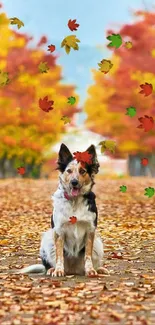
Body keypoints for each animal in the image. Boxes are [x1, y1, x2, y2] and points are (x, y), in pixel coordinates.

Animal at [19, 144, 108, 276]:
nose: (74, 182)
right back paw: (51, 269)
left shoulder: (90, 230)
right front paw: (58, 270)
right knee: (50, 262)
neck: (74, 201)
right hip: (48, 239)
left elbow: (87, 255)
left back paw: (99, 269)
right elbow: (59, 255)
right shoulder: (59, 231)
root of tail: (73, 270)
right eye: (69, 171)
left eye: (82, 171)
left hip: (98, 242)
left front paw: (90, 270)